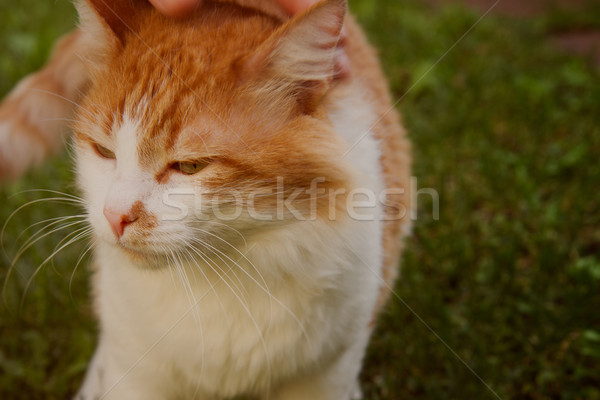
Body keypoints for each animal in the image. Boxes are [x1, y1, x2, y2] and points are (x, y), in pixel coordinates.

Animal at [0, 0, 412, 400]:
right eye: (104, 151)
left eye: (190, 166)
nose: (114, 215)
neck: (219, 282)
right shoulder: (135, 374)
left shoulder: (328, 371)